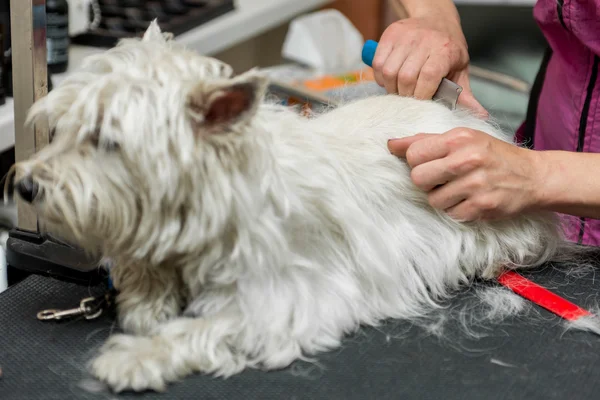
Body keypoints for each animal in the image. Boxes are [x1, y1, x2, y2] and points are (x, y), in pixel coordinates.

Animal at [9, 21, 572, 390]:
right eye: (62, 128)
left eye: (107, 140)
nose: (26, 186)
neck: (216, 198)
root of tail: (454, 114)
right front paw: (146, 304)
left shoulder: (285, 299)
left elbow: (211, 325)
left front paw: (137, 355)